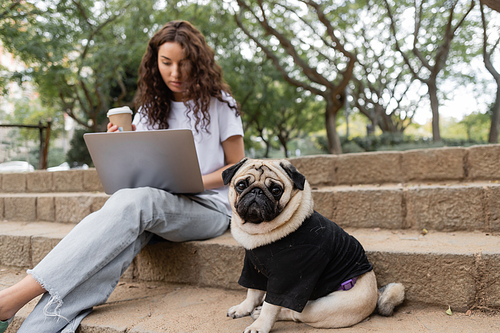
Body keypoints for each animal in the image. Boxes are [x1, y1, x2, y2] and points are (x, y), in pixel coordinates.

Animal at [225, 158, 404, 332]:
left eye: (276, 190)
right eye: (241, 185)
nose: (256, 191)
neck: (259, 232)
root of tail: (376, 296)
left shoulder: (287, 278)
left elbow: (271, 305)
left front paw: (259, 326)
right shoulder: (252, 269)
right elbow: (252, 292)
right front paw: (242, 309)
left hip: (320, 307)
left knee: (295, 313)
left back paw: (261, 313)